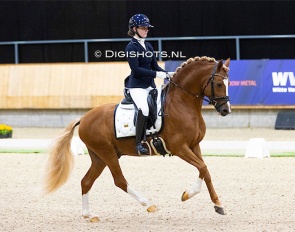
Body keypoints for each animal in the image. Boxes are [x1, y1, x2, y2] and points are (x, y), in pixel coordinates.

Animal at [44, 55, 232, 221]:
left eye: (228, 83)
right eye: (218, 83)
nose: (225, 110)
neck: (182, 103)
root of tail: (83, 118)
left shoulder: (194, 146)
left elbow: (205, 171)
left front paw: (218, 204)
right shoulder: (180, 148)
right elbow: (203, 167)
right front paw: (188, 194)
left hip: (99, 157)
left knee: (86, 181)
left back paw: (88, 215)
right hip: (107, 153)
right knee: (119, 181)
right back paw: (149, 204)